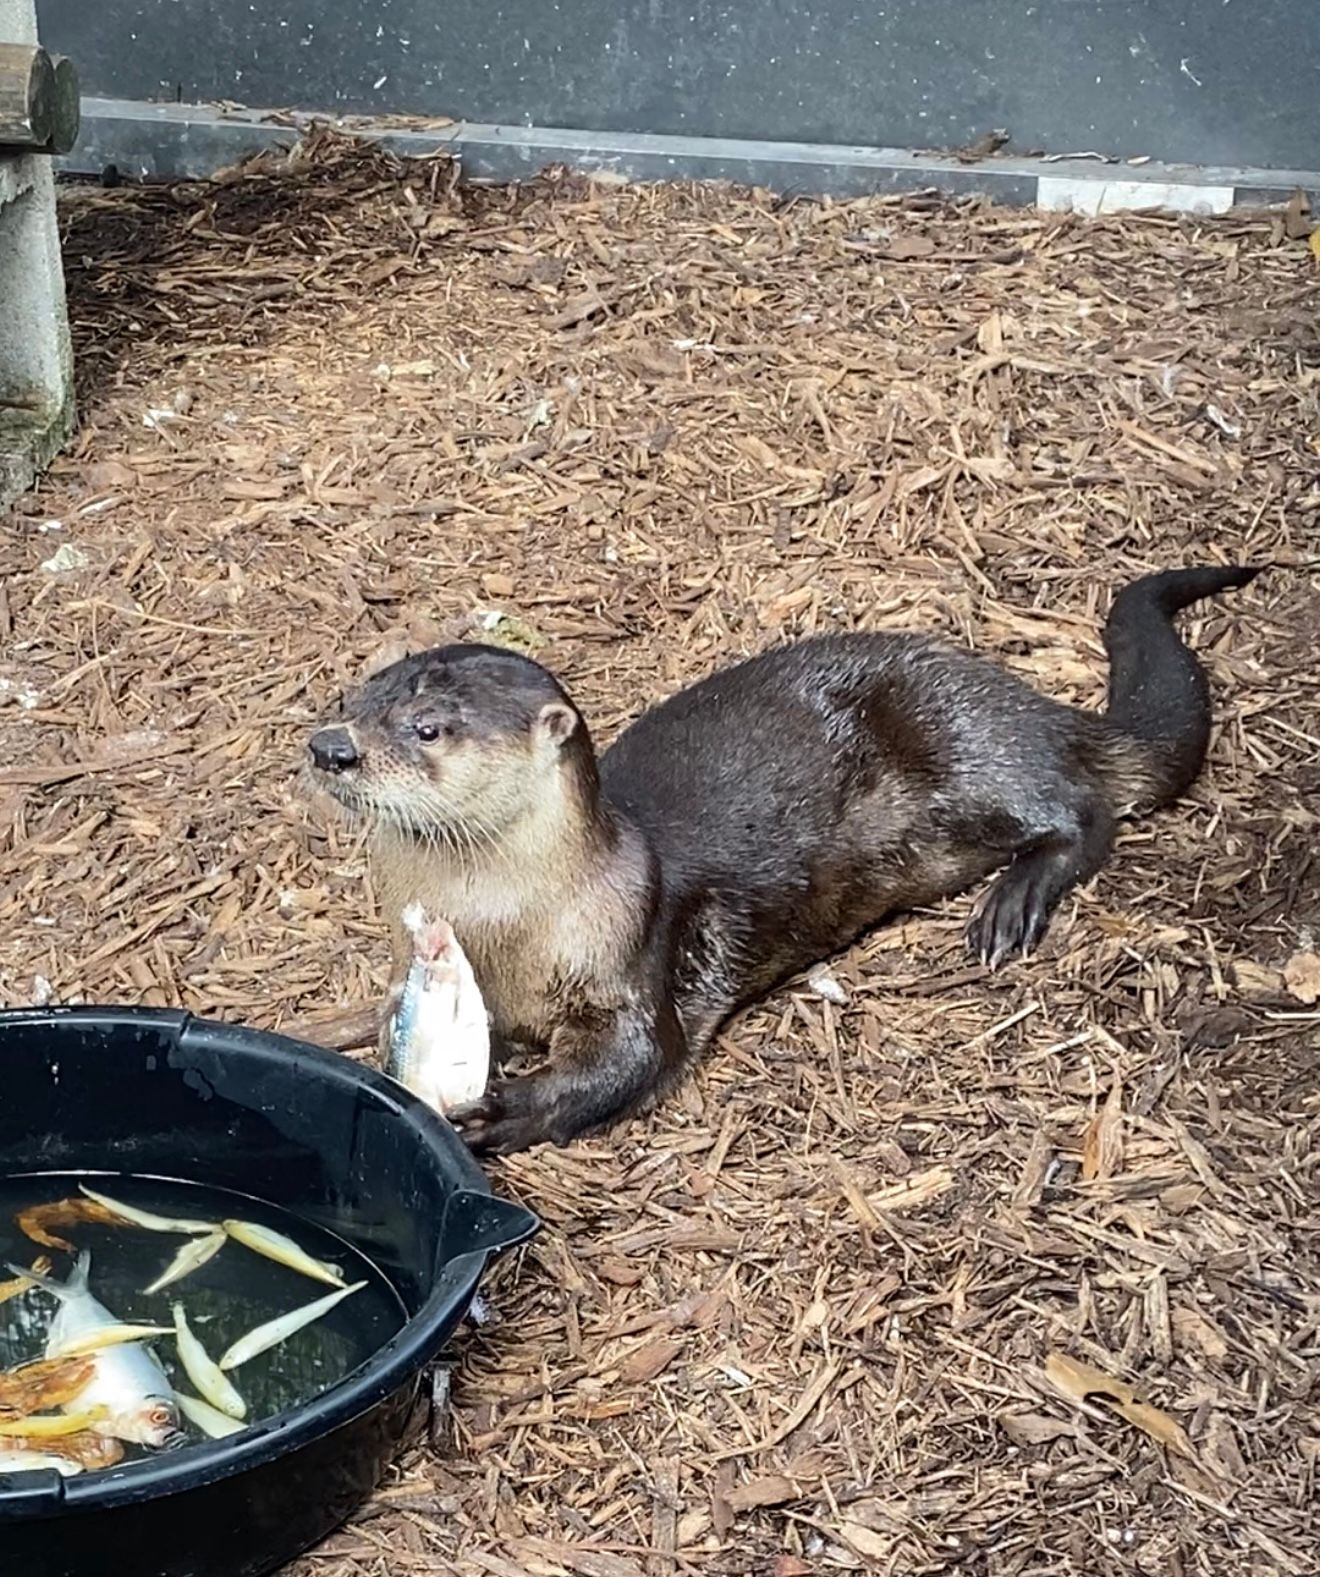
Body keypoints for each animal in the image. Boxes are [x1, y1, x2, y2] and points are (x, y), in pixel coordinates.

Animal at [306, 564, 1260, 1155]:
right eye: (354, 698)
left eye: (430, 728)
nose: (330, 747)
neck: (508, 926)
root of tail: (1027, 701)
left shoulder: (626, 953)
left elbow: (631, 1056)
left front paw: (504, 1108)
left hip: (970, 747)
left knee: (1084, 807)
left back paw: (1012, 905)